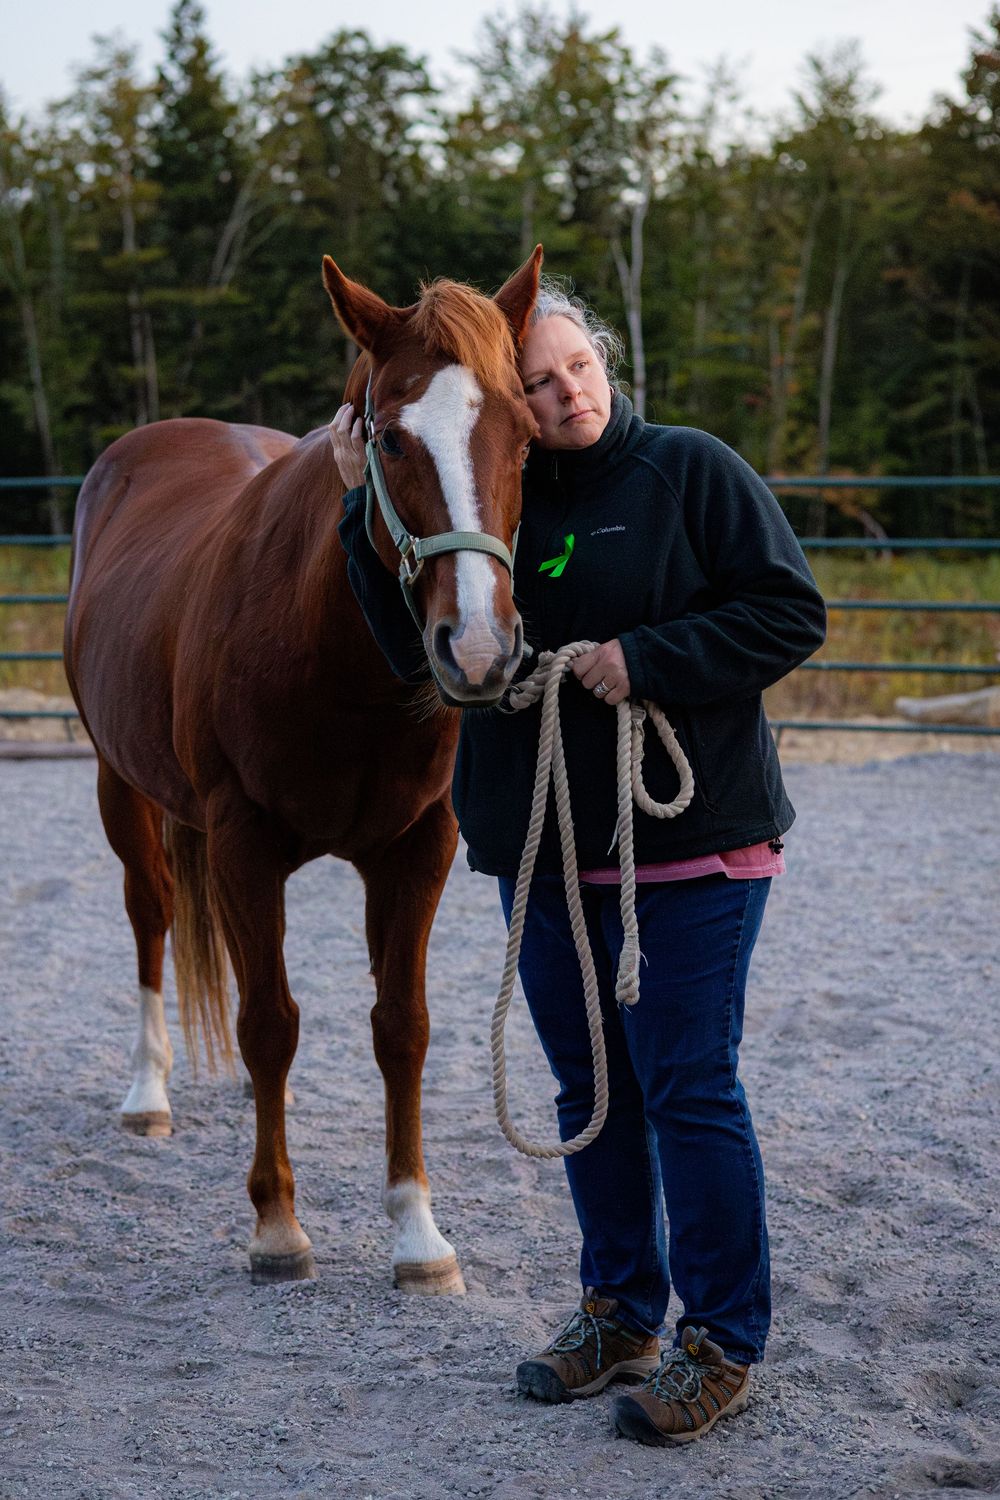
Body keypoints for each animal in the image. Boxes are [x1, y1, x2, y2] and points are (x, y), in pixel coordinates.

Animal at [63, 247, 542, 1291]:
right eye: (393, 441)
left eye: (527, 437)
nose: (478, 650)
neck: (334, 650)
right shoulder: (244, 843)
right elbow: (270, 1024)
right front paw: (277, 1225)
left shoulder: (417, 849)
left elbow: (401, 1026)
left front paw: (417, 1233)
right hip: (122, 785)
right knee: (152, 917)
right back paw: (147, 1091)